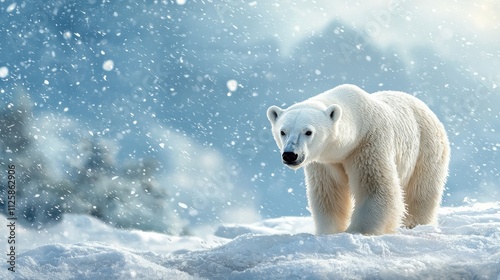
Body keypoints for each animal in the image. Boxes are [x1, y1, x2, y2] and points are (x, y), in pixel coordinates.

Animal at [268, 84, 452, 235]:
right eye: (283, 131)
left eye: (308, 132)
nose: (290, 155)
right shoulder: (325, 162)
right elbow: (328, 194)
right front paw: (329, 231)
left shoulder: (368, 145)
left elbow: (376, 188)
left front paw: (359, 231)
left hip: (426, 146)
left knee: (421, 190)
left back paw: (415, 224)